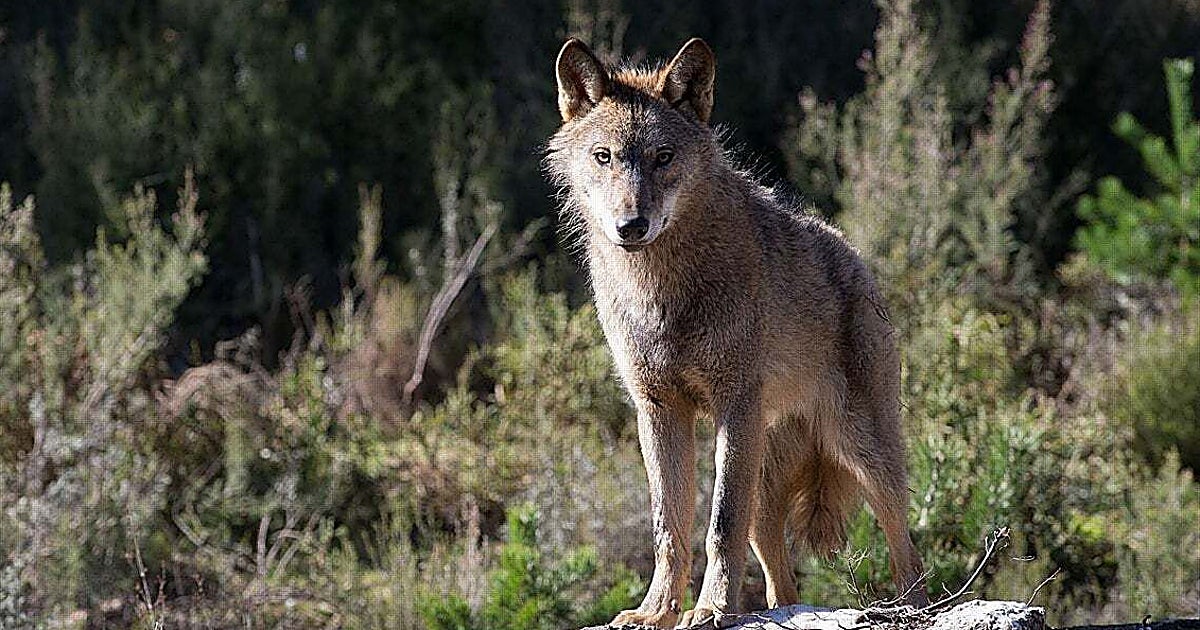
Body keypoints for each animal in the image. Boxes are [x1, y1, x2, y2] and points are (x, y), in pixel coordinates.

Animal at [543, 38, 929, 628]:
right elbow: (669, 528)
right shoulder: (658, 410)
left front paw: (711, 609)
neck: (662, 291)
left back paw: (911, 607)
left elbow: (719, 524)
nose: (631, 226)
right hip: (767, 491)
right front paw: (655, 612)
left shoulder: (735, 403)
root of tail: (856, 258)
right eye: (603, 156)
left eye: (663, 157)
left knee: (906, 547)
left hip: (862, 451)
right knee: (779, 579)